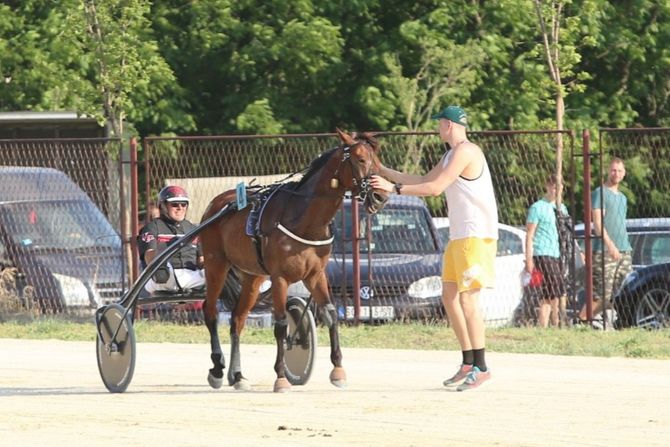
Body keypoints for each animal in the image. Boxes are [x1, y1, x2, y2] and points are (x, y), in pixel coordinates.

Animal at [198, 129, 388, 392]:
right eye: (360, 159)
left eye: (378, 161)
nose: (380, 196)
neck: (304, 219)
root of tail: (216, 205)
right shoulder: (280, 278)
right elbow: (280, 325)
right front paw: (281, 376)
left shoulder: (315, 275)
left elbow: (331, 314)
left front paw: (338, 370)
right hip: (216, 264)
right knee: (211, 312)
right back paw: (217, 368)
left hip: (253, 276)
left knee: (237, 319)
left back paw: (237, 376)